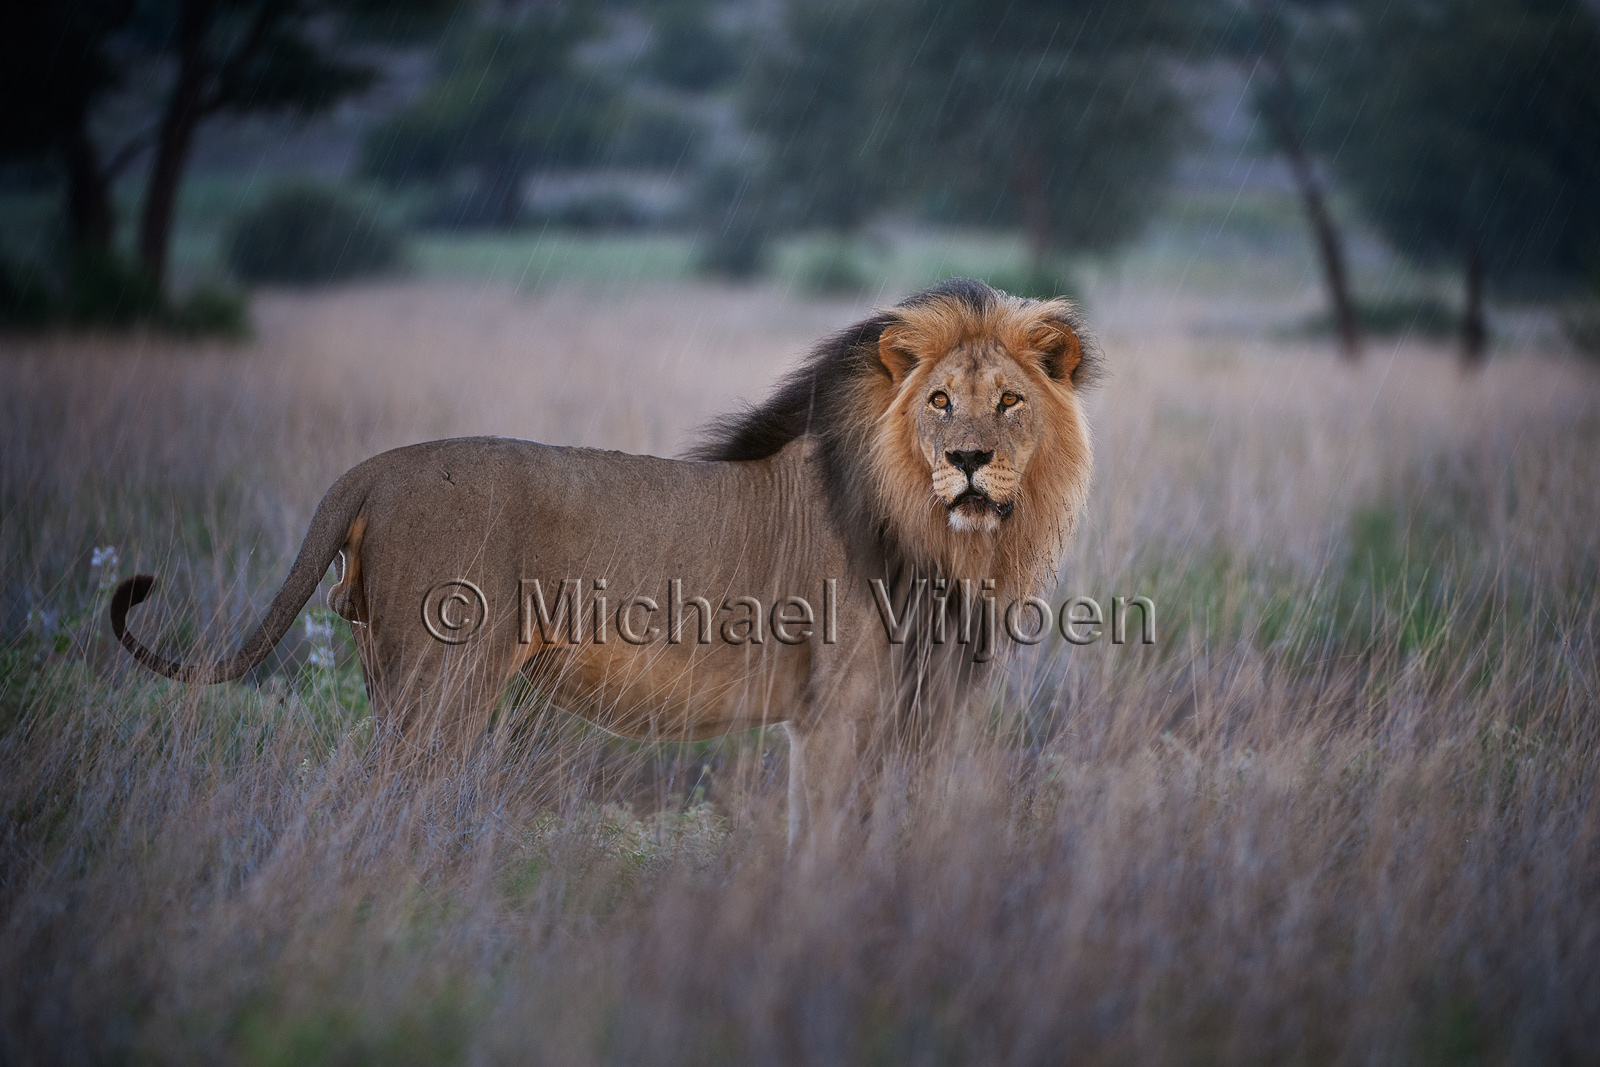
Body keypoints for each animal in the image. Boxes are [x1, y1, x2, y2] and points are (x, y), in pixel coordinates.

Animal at [109, 279, 1100, 843]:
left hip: (391, 676)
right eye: (938, 401)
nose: (967, 459)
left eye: (1009, 402)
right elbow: (824, 840)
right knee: (382, 792)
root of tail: (377, 467)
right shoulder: (839, 712)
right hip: (442, 683)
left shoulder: (900, 718)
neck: (958, 544)